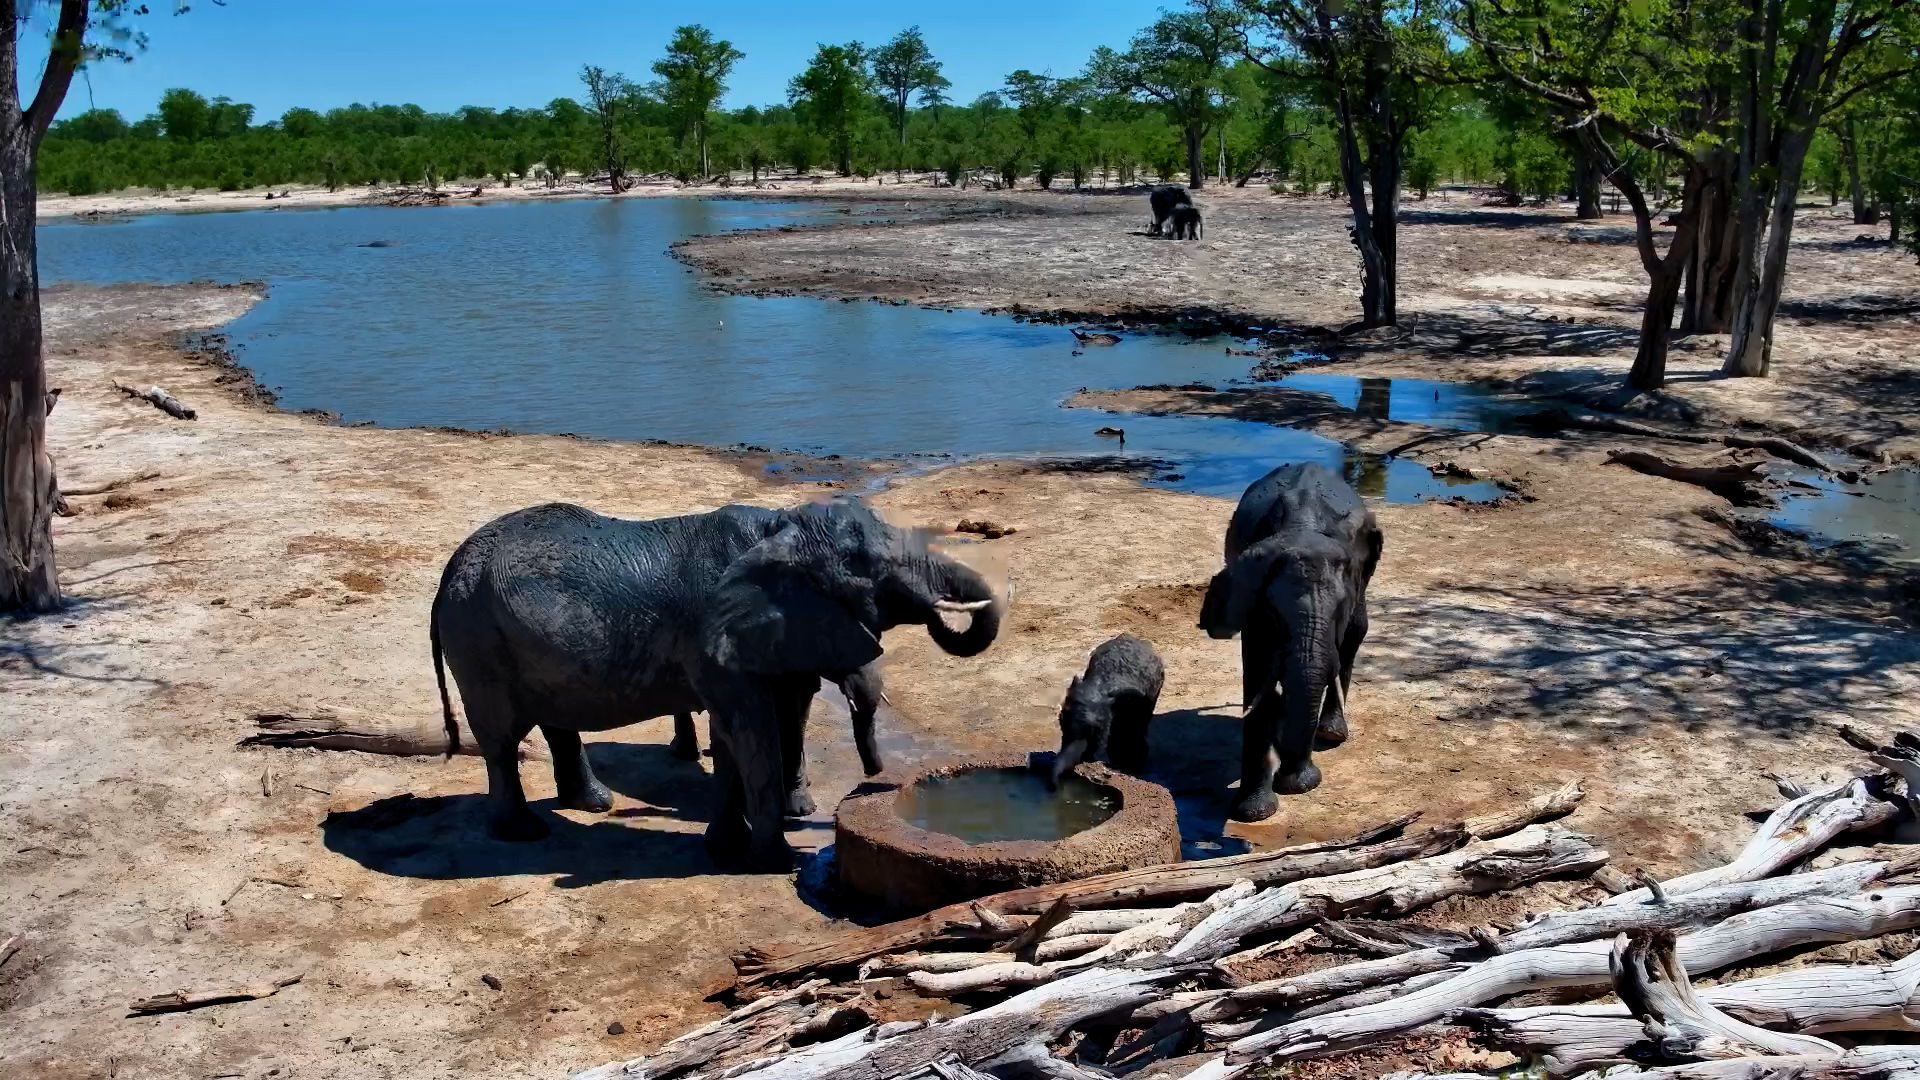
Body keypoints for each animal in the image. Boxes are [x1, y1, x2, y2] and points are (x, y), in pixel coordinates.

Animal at [430, 498, 1002, 870]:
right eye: (869, 568)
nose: (874, 780)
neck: (779, 525)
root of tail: (447, 574)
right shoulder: (714, 634)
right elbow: (752, 730)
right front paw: (778, 862)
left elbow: (735, 737)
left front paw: (725, 848)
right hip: (478, 639)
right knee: (501, 739)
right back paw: (523, 832)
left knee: (553, 722)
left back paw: (595, 805)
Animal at [1198, 463, 1381, 822]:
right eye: (1272, 611)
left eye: (1338, 608)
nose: (1297, 784)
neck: (1302, 526)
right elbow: (1257, 669)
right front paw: (1254, 813)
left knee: (1356, 633)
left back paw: (1331, 733)